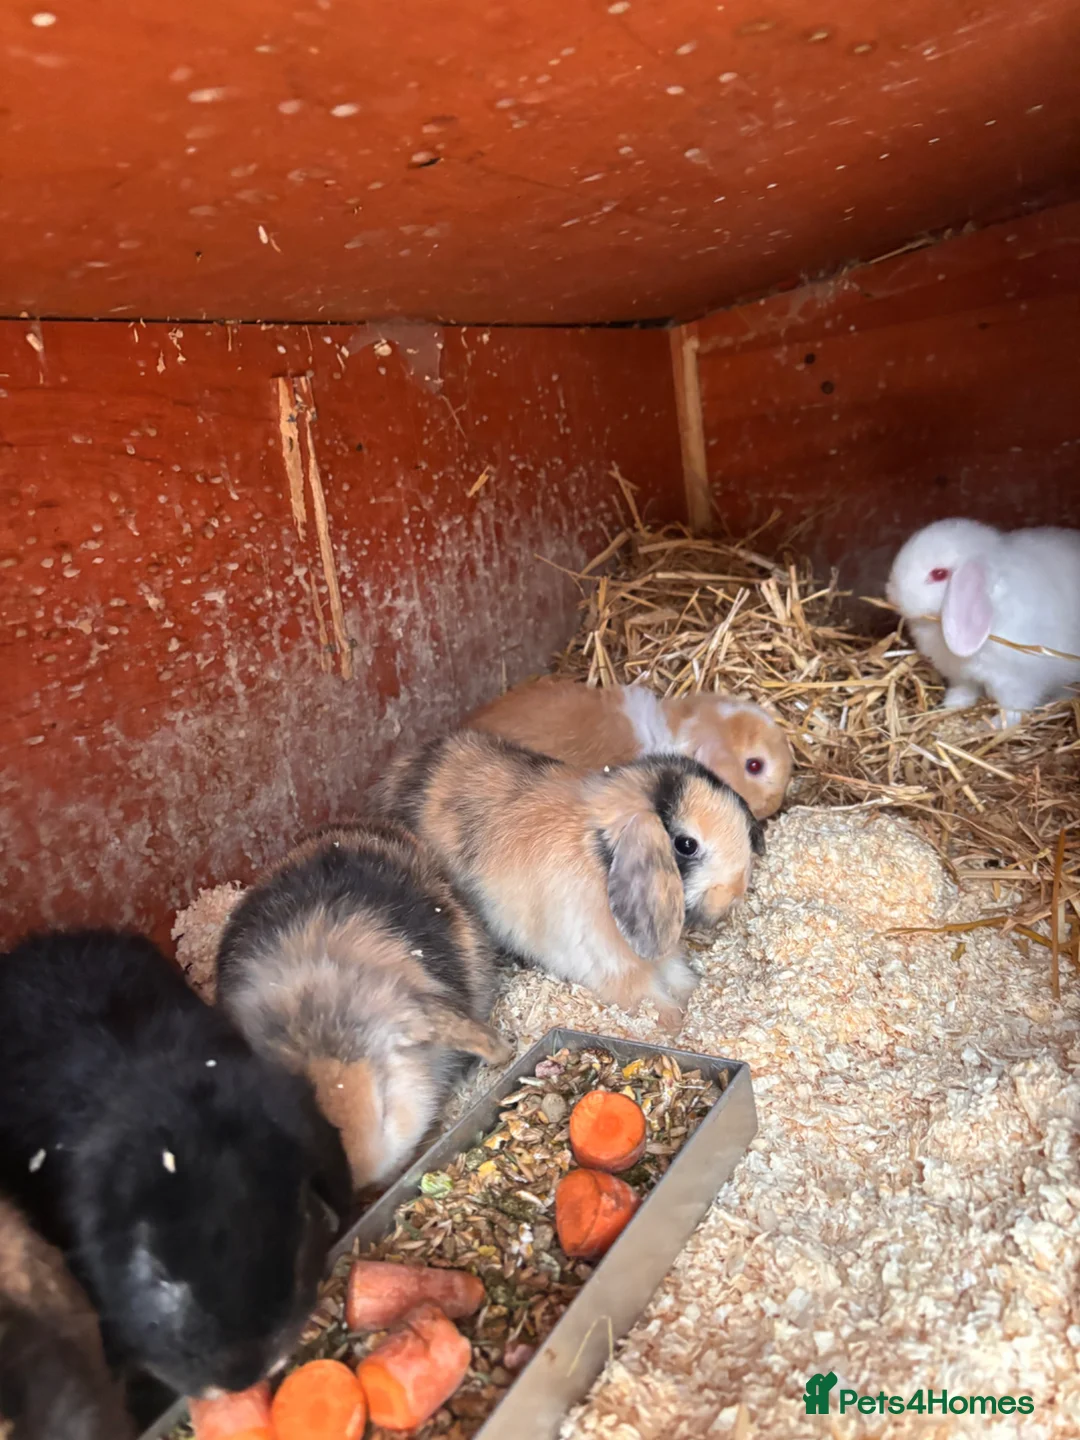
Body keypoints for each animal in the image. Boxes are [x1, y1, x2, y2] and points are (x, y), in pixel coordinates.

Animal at [373, 732, 765, 1033]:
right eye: (686, 845)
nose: (735, 892)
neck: (601, 857)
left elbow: (681, 979)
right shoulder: (613, 968)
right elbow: (651, 1001)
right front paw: (674, 1024)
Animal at [886, 518, 1080, 726]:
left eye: (939, 574)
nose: (891, 595)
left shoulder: (1016, 685)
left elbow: (1012, 713)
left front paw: (985, 726)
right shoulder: (961, 678)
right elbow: (961, 693)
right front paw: (949, 707)